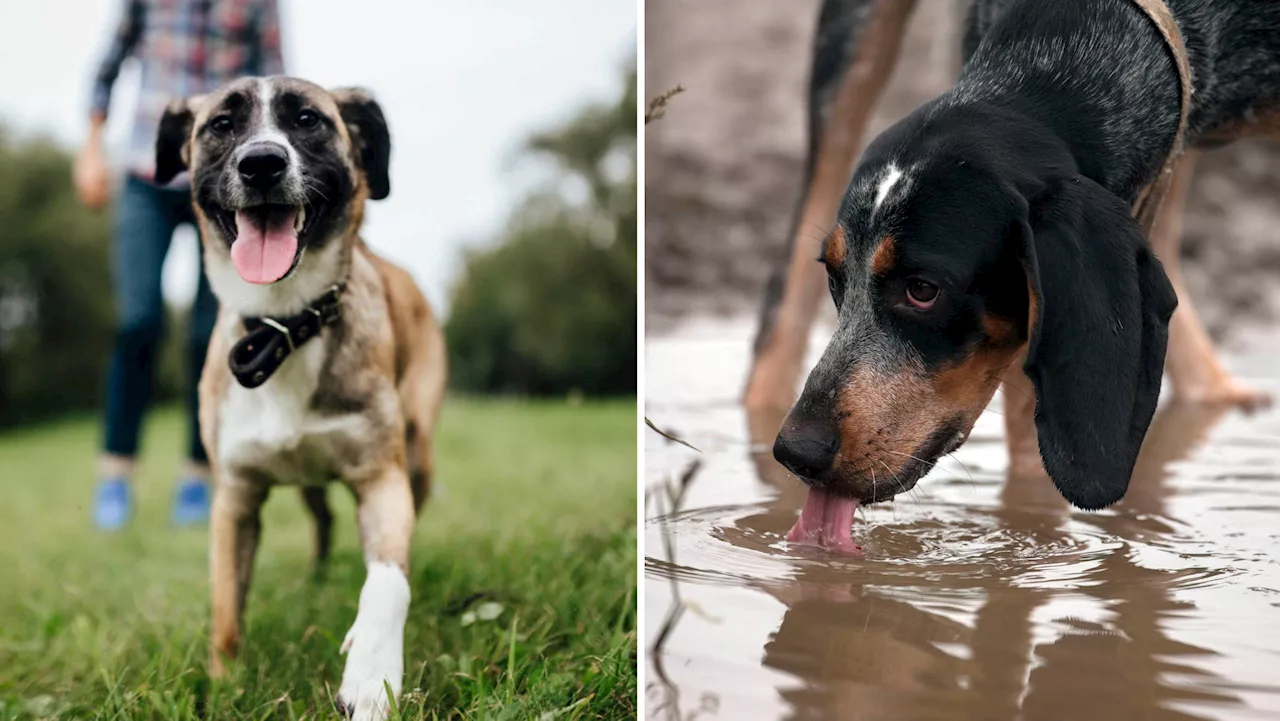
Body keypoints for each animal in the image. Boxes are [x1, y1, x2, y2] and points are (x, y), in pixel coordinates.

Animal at [154, 76, 448, 717]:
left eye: (308, 119)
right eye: (221, 125)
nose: (262, 162)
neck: (284, 325)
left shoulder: (381, 479)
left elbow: (388, 580)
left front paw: (372, 676)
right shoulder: (234, 500)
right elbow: (226, 611)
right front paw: (225, 685)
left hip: (417, 454)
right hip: (310, 483)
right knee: (323, 519)